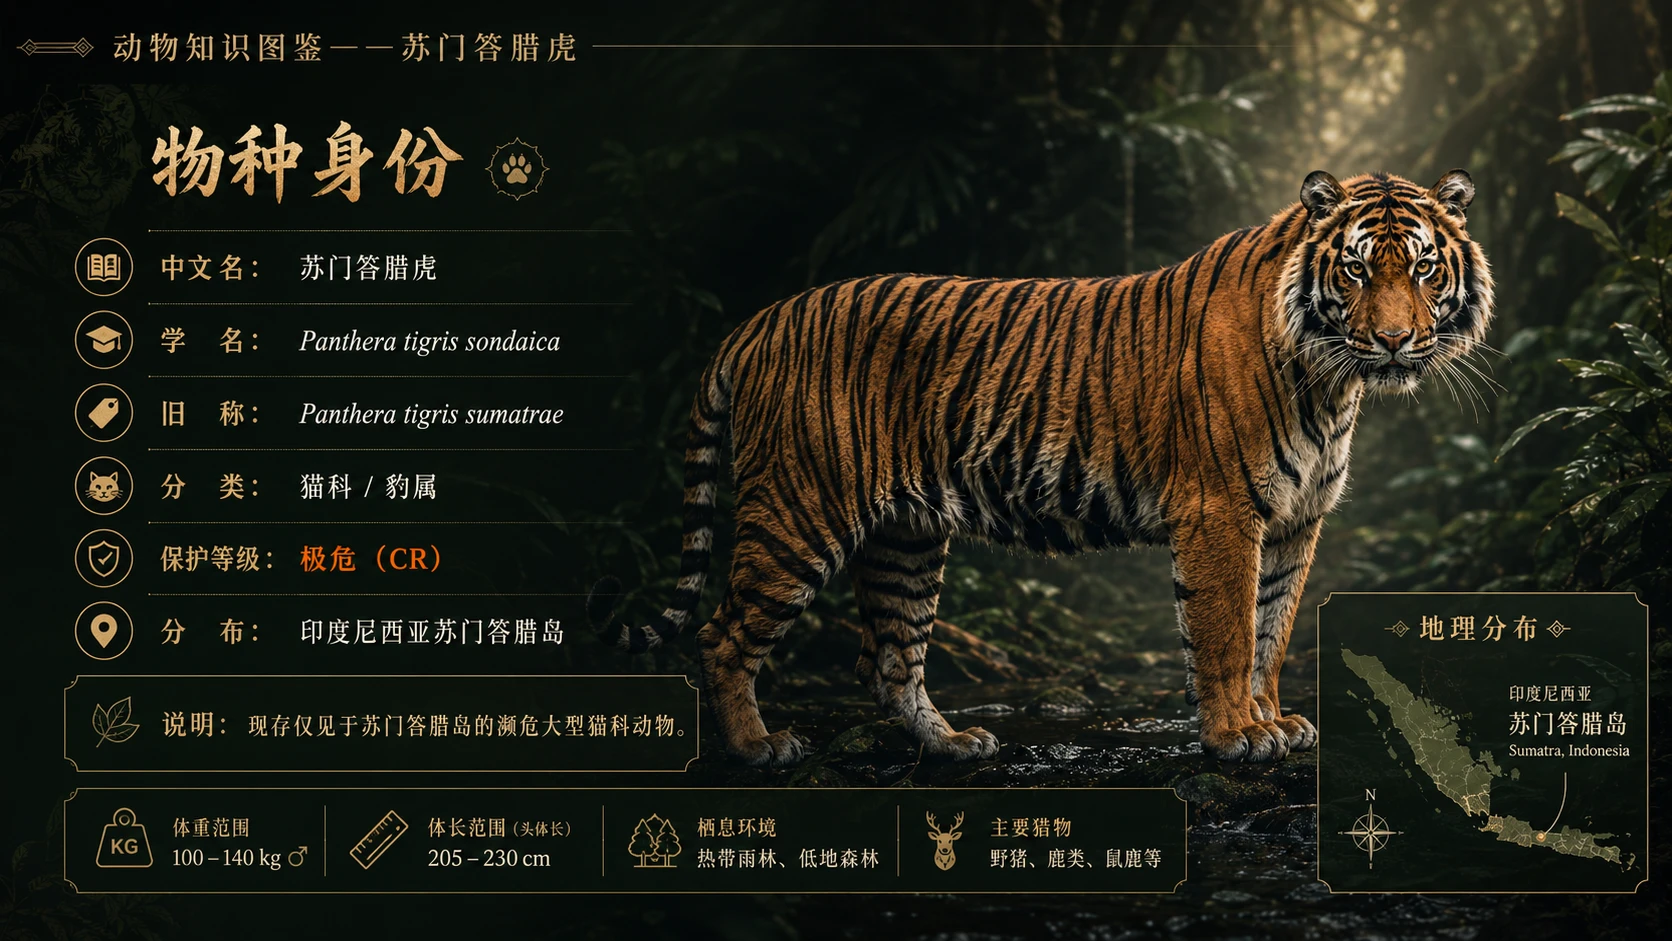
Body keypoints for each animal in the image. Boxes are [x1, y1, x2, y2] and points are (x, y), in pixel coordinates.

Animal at [594, 169, 1494, 766]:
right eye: (1356, 268)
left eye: (1422, 267)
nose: (1394, 341)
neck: (1331, 376)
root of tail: (758, 320)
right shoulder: (1221, 513)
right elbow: (1229, 633)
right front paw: (1237, 736)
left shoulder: (1294, 521)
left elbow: (1272, 631)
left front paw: (1274, 723)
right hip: (798, 511)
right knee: (722, 635)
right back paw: (760, 746)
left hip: (905, 537)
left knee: (889, 658)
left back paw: (953, 742)